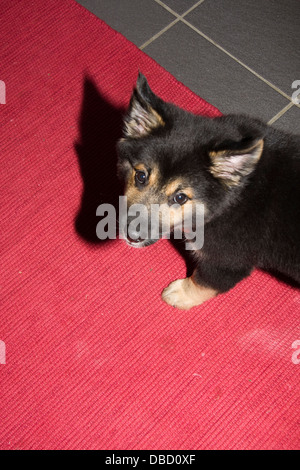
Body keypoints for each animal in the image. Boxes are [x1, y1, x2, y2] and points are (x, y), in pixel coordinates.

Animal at [117, 73, 300, 308]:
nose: (132, 235)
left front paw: (179, 294)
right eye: (141, 176)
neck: (234, 197)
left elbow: (203, 282)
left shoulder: (227, 260)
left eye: (180, 197)